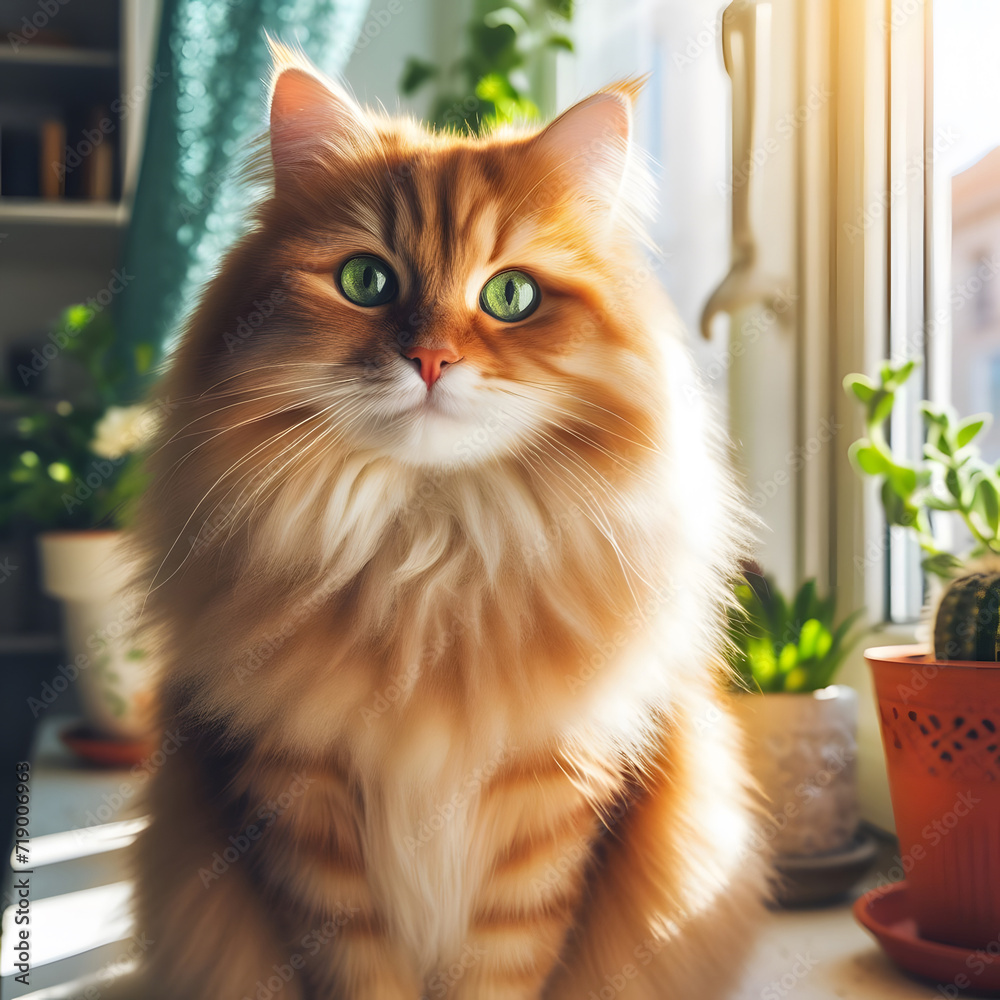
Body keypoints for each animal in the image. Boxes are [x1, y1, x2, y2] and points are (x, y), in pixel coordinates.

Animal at [131, 41, 764, 1000]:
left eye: (509, 296)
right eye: (366, 281)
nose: (430, 359)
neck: (427, 561)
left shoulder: (548, 808)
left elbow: (501, 971)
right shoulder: (305, 806)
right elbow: (359, 969)